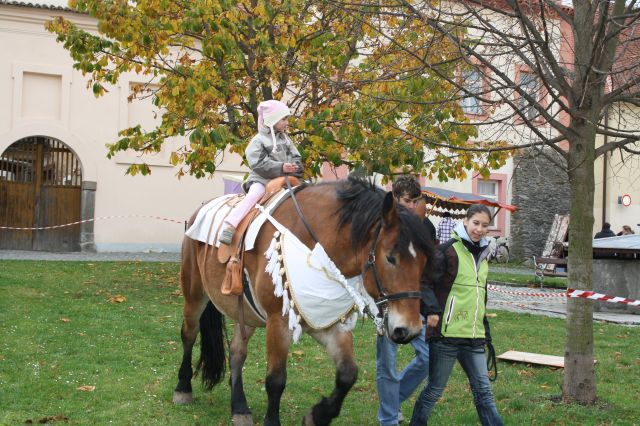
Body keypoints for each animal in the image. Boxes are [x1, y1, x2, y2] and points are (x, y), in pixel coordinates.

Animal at [172, 176, 436, 422]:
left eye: (425, 260)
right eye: (391, 257)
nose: (409, 329)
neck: (315, 250)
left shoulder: (329, 325)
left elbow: (348, 374)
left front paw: (318, 414)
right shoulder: (278, 323)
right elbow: (276, 380)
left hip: (244, 312)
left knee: (237, 350)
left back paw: (239, 407)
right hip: (194, 294)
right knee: (189, 334)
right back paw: (183, 388)